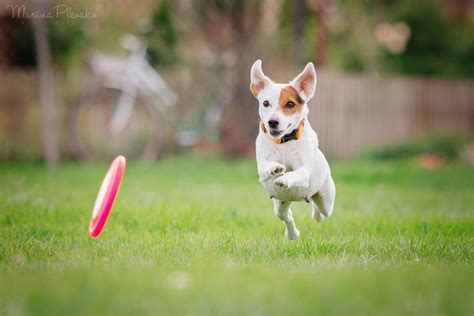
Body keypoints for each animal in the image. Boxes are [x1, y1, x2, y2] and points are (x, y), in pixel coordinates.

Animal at [250, 59, 336, 239]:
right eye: (266, 103)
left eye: (290, 104)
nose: (272, 122)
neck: (284, 141)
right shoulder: (262, 167)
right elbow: (266, 167)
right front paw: (276, 168)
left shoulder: (303, 171)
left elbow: (296, 173)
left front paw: (284, 178)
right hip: (280, 202)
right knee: (285, 215)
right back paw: (292, 234)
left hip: (326, 199)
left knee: (321, 211)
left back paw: (315, 214)